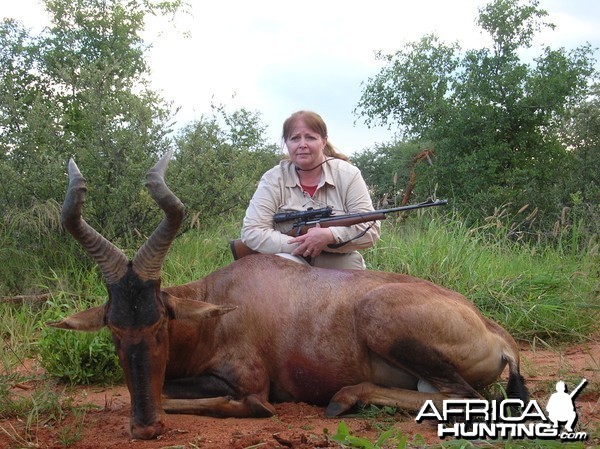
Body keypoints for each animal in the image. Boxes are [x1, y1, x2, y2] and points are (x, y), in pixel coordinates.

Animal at [49, 153, 528, 438]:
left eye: (160, 325)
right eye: (113, 329)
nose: (145, 428)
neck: (221, 300)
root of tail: (496, 332)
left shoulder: (247, 379)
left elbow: (202, 396)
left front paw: (256, 410)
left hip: (382, 318)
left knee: (469, 399)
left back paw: (344, 398)